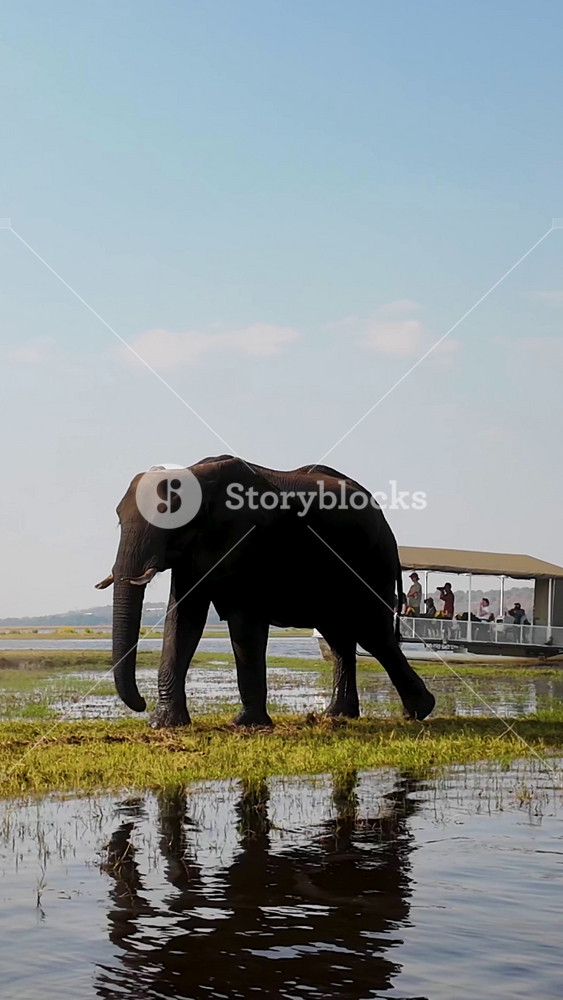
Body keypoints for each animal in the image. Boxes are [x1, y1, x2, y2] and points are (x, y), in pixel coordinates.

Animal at [96, 455, 435, 727]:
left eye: (168, 517)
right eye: (118, 518)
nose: (140, 705)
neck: (198, 475)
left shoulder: (251, 543)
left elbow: (244, 625)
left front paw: (245, 725)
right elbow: (181, 621)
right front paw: (163, 724)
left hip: (370, 561)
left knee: (372, 633)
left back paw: (419, 711)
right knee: (340, 636)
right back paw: (338, 715)